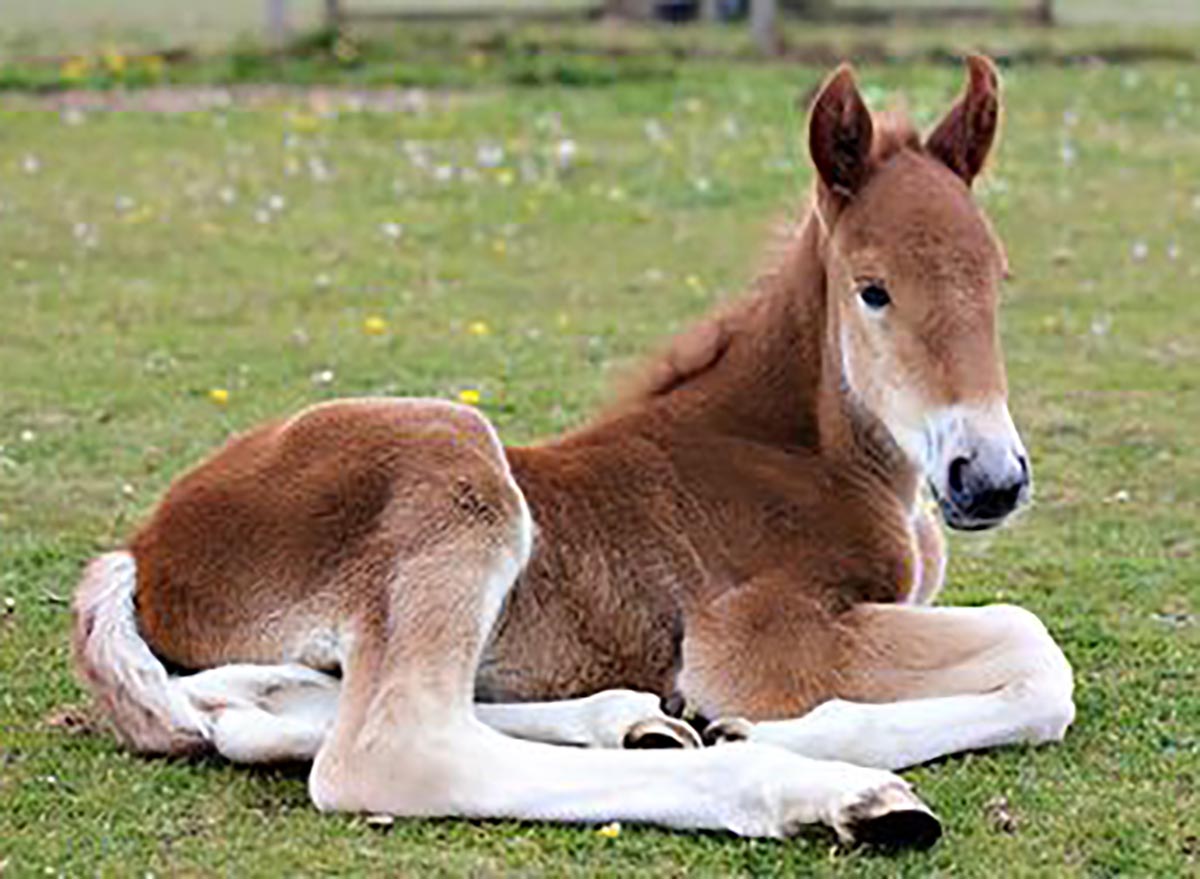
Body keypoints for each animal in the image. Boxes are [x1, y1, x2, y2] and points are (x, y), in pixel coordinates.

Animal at [70, 58, 1075, 850]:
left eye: (998, 279)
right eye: (873, 289)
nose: (990, 478)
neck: (803, 453)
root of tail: (144, 548)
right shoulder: (759, 636)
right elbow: (1035, 648)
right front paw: (786, 733)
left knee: (261, 708)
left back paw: (635, 721)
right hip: (454, 454)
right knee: (393, 748)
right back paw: (827, 794)